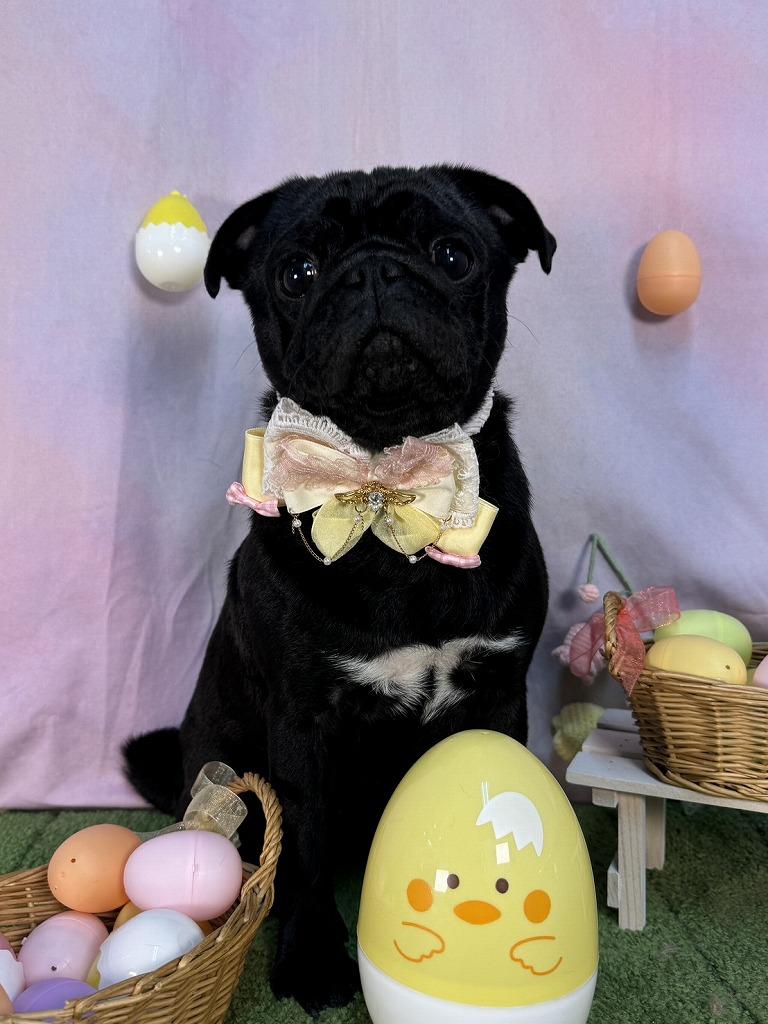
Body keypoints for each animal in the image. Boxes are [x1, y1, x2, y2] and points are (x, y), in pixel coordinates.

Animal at [124, 164, 554, 1013]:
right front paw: (313, 957)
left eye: (453, 256)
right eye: (298, 273)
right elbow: (308, 847)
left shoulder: (498, 694)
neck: (387, 479)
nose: (376, 272)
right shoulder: (304, 723)